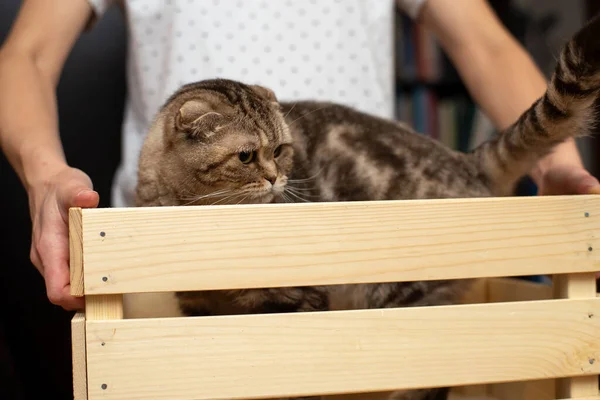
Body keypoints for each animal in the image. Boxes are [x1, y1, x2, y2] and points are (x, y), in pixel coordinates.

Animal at [135, 11, 600, 400]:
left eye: (281, 150)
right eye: (247, 156)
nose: (275, 179)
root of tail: (463, 159)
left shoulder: (295, 304)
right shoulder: (197, 307)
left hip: (401, 297)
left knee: (435, 373)